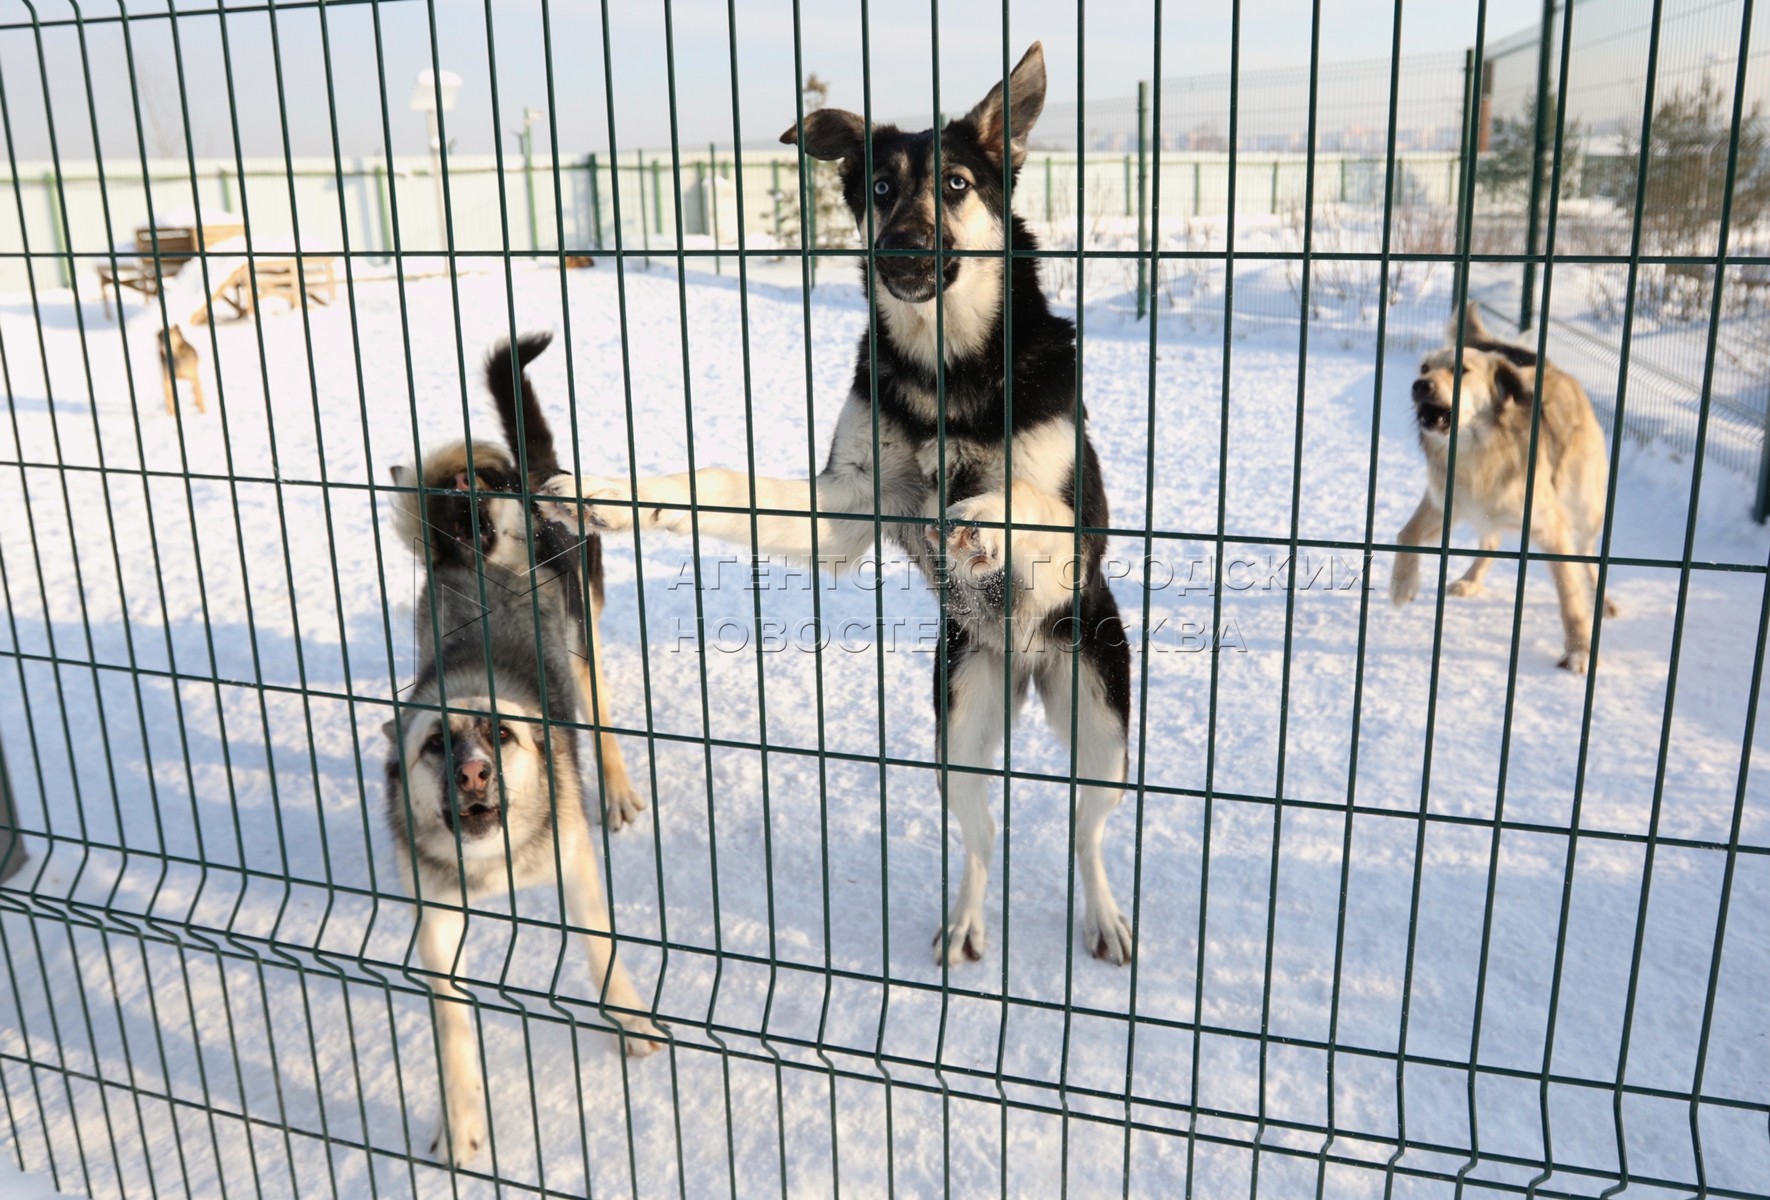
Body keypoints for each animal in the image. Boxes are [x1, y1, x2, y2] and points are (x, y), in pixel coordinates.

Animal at [538, 42, 1139, 969]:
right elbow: (722, 484)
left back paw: (1104, 916)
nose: (901, 252)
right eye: (881, 188)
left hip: (1102, 716)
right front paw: (616, 497)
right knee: (981, 837)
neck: (947, 373)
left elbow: (1027, 496)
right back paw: (965, 922)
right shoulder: (850, 509)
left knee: (1087, 832)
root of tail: (1025, 663)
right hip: (959, 728)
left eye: (956, 183)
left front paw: (978, 519)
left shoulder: (1081, 525)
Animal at [1387, 302, 1621, 676]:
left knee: (1586, 553)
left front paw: (1579, 650)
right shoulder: (1445, 501)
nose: (1419, 385)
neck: (1477, 450)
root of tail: (1553, 369)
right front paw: (1402, 585)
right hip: (1486, 513)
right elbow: (1406, 533)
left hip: (1585, 507)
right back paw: (1471, 580)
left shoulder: (1551, 526)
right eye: (1424, 367)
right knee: (1492, 540)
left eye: (1461, 370)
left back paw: (1603, 601)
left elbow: (1569, 593)